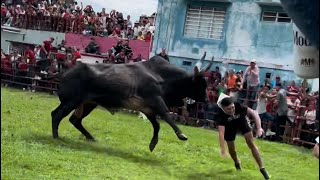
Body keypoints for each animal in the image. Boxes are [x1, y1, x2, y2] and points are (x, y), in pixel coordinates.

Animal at [51, 52, 214, 152]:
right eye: (201, 84)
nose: (206, 100)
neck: (162, 76)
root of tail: (65, 73)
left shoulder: (147, 109)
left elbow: (157, 125)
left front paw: (152, 144)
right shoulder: (155, 101)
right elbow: (167, 116)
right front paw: (181, 134)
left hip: (88, 103)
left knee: (74, 120)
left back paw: (91, 138)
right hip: (71, 101)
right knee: (56, 114)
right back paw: (56, 137)